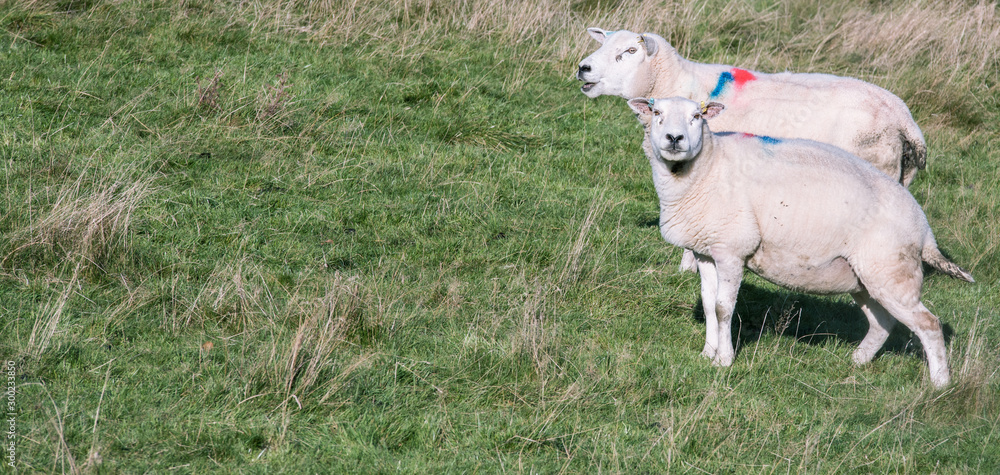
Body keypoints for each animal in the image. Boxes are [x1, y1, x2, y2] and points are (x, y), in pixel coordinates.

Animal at [626, 96, 973, 388]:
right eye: (657, 113)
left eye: (697, 116)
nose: (674, 139)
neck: (707, 168)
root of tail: (924, 227)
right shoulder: (706, 251)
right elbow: (709, 304)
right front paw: (707, 353)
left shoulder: (731, 250)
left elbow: (724, 308)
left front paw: (724, 360)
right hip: (866, 277)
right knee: (883, 322)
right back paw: (857, 361)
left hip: (892, 270)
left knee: (929, 324)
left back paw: (940, 384)